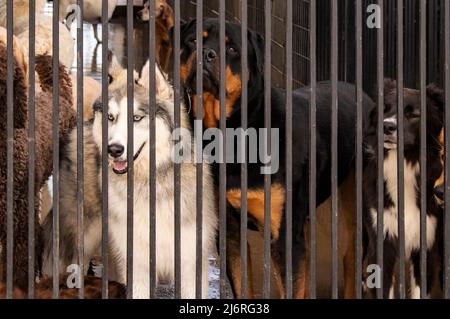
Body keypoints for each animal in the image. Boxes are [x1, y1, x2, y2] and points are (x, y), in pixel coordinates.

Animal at [176, 18, 372, 298]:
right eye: (192, 41)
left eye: (232, 48)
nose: (205, 53)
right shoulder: (230, 231)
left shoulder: (284, 236)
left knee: (351, 256)